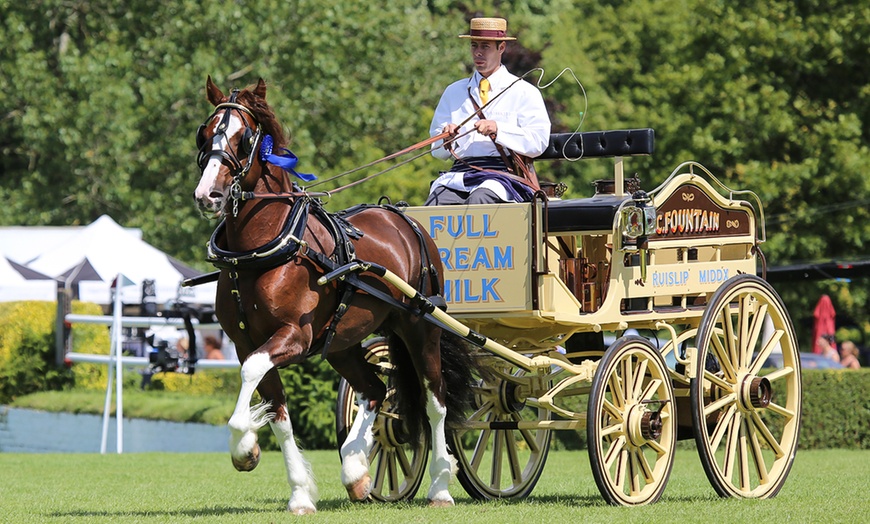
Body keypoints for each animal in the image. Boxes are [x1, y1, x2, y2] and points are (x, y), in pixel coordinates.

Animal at [193, 78, 474, 516]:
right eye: (204, 135)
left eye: (244, 138)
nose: (209, 195)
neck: (259, 253)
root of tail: (401, 217)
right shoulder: (245, 342)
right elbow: (277, 411)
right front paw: (297, 491)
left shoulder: (294, 336)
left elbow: (252, 378)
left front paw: (244, 446)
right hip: (342, 342)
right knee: (374, 389)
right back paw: (356, 469)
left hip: (420, 328)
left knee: (436, 400)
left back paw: (440, 486)